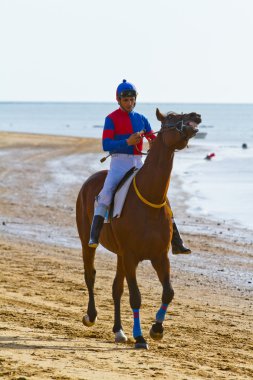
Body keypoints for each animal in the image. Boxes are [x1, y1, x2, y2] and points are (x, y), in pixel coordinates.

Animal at [76, 108, 203, 348]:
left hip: (119, 254)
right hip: (88, 242)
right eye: (170, 117)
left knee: (116, 288)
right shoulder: (131, 256)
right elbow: (135, 296)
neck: (149, 198)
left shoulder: (159, 256)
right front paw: (140, 336)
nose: (196, 115)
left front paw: (157, 329)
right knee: (90, 275)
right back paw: (91, 316)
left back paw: (118, 330)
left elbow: (168, 292)